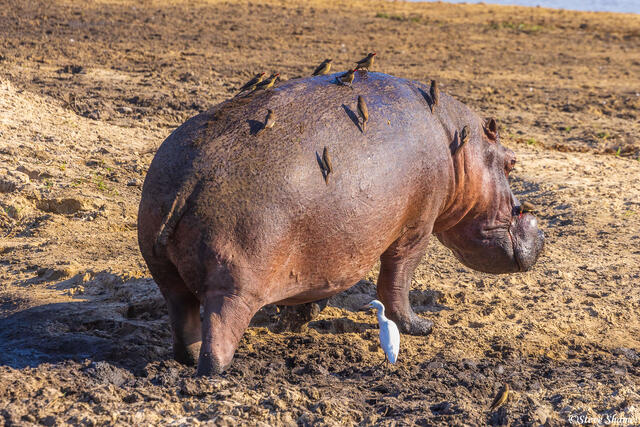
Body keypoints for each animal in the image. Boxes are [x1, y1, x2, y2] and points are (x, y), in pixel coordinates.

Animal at [138, 71, 544, 375]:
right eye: (511, 162)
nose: (539, 229)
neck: (456, 141)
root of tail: (190, 178)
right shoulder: (416, 229)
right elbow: (397, 281)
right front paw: (420, 328)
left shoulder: (329, 252)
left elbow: (321, 286)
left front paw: (298, 319)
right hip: (235, 284)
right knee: (220, 331)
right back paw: (216, 371)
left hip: (165, 270)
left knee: (182, 314)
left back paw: (186, 358)